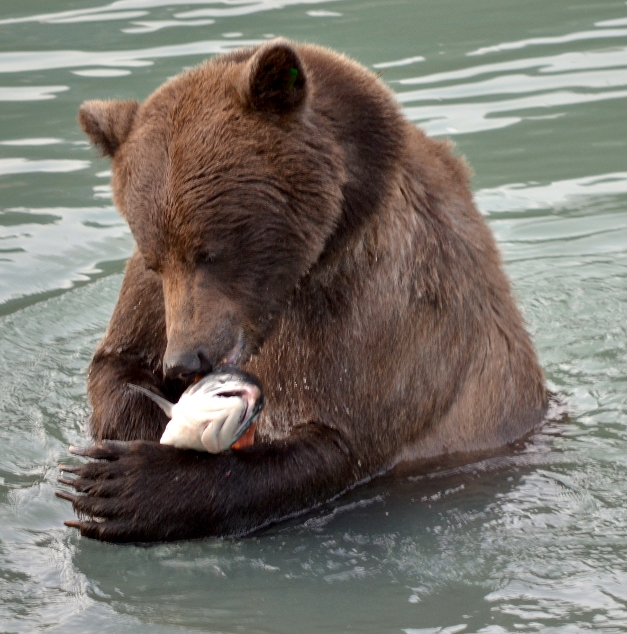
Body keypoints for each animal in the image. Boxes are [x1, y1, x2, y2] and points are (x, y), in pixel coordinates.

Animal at [59, 39, 548, 540]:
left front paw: (129, 486)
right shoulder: (153, 301)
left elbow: (337, 442)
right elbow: (118, 363)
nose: (185, 360)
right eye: (156, 259)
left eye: (210, 251)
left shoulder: (387, 303)